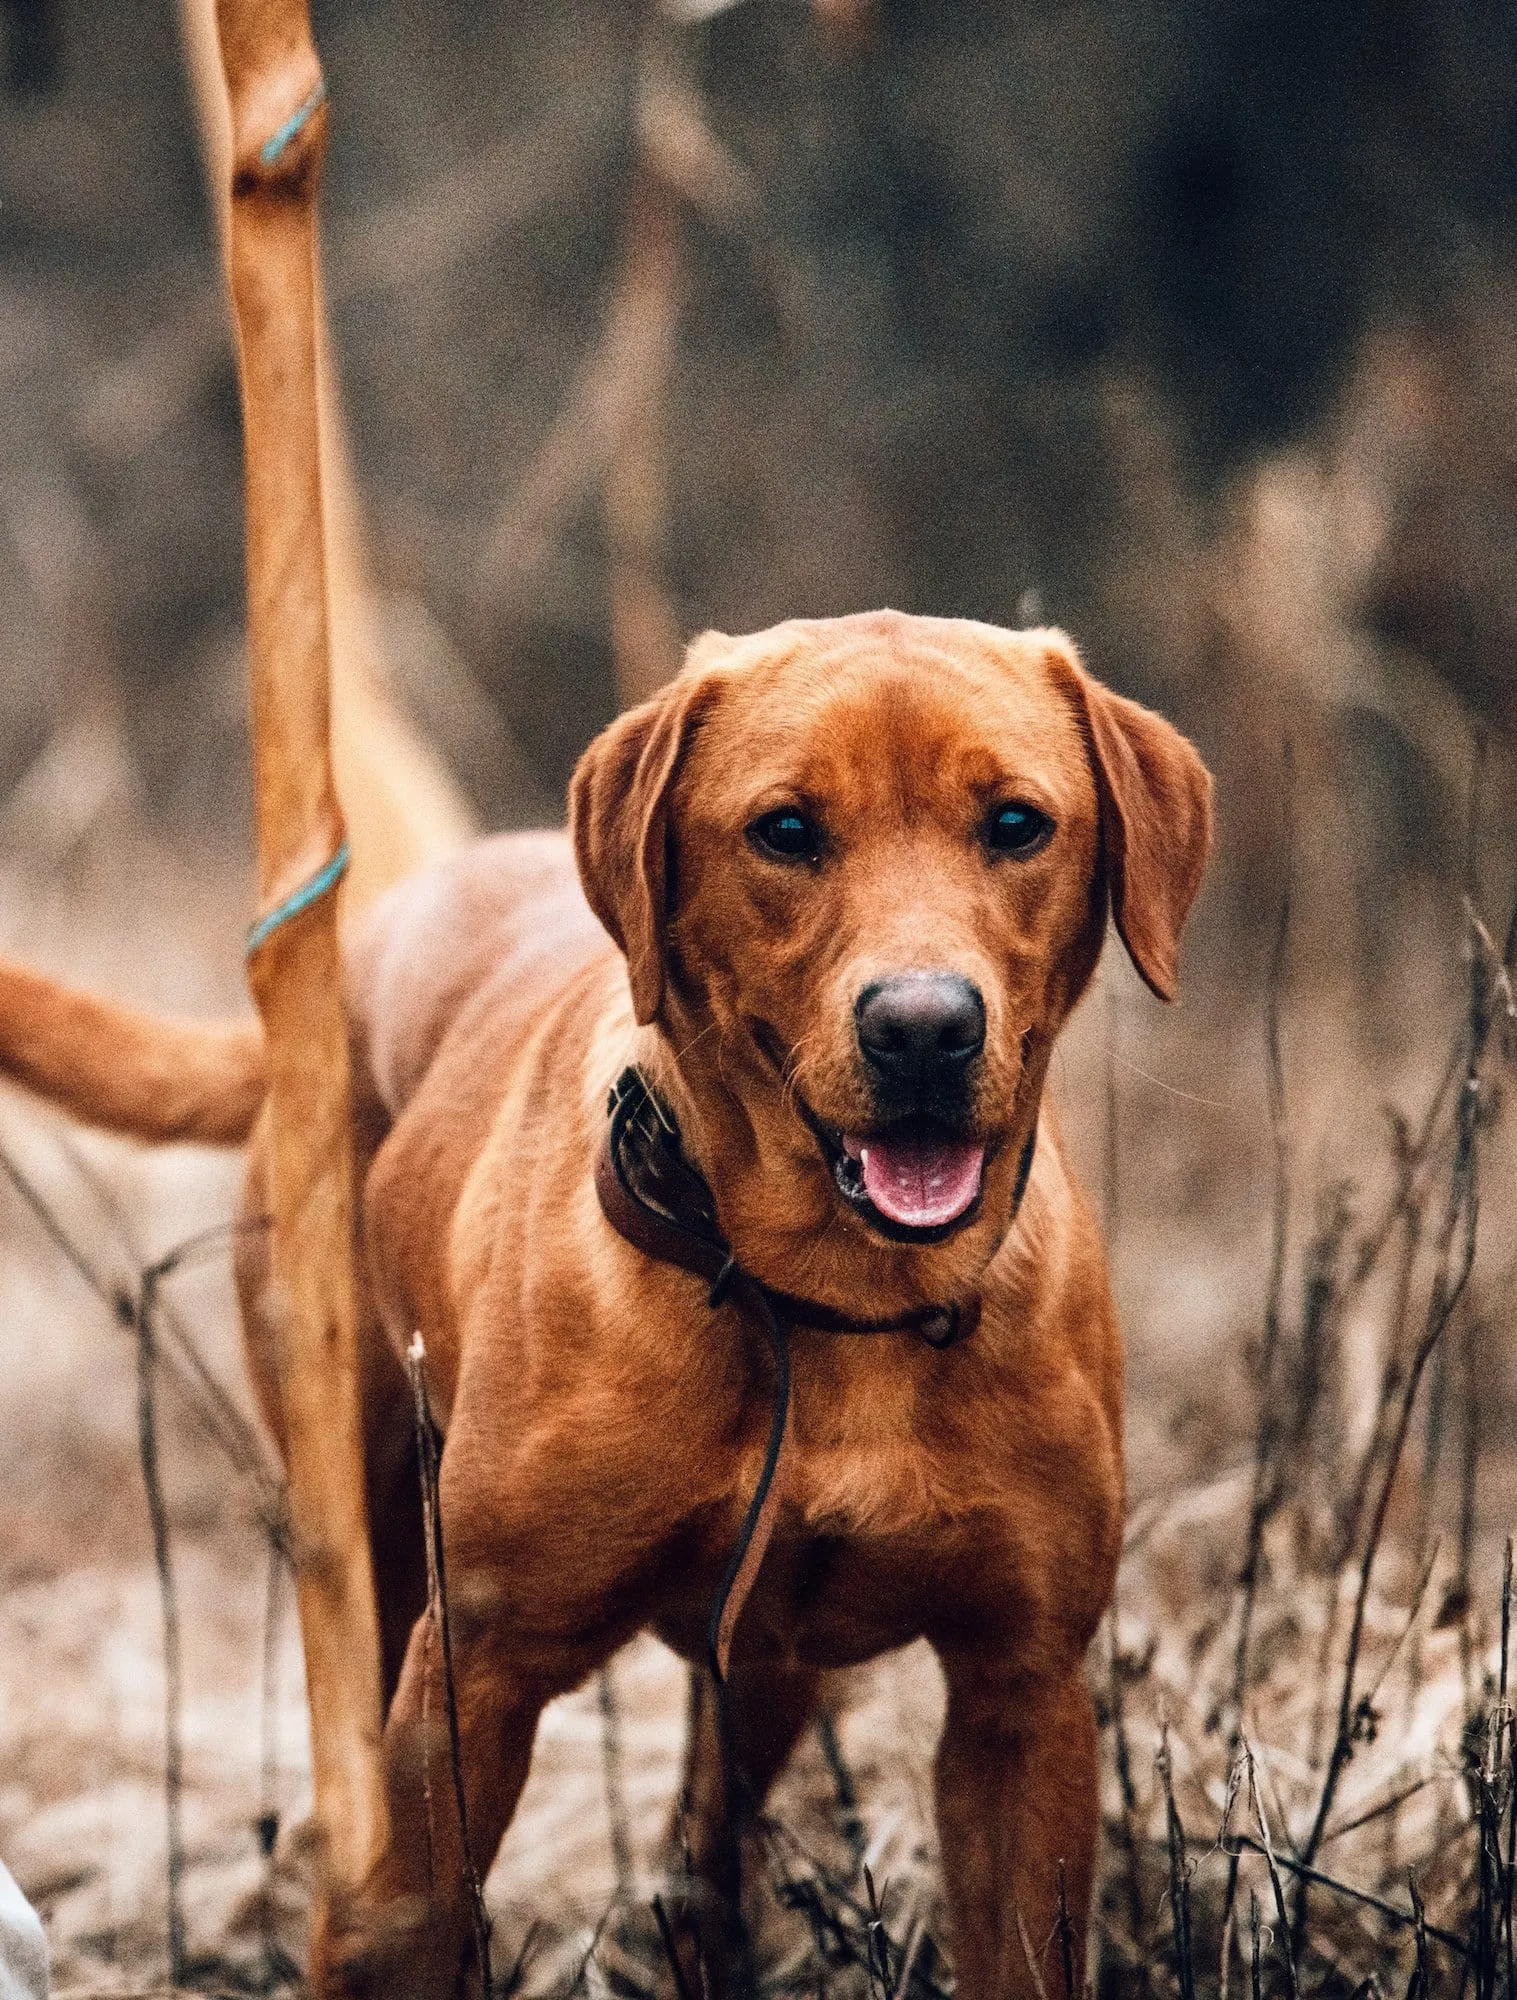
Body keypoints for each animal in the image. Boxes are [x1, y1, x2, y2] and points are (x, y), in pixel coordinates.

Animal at [0, 612, 1208, 2000]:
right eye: (786, 830)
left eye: (1015, 823)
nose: (921, 1028)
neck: (830, 1300)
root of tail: (375, 925)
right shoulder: (477, 1666)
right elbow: (403, 1917)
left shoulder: (1022, 1691)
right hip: (371, 1538)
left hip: (764, 1673)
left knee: (702, 1842)